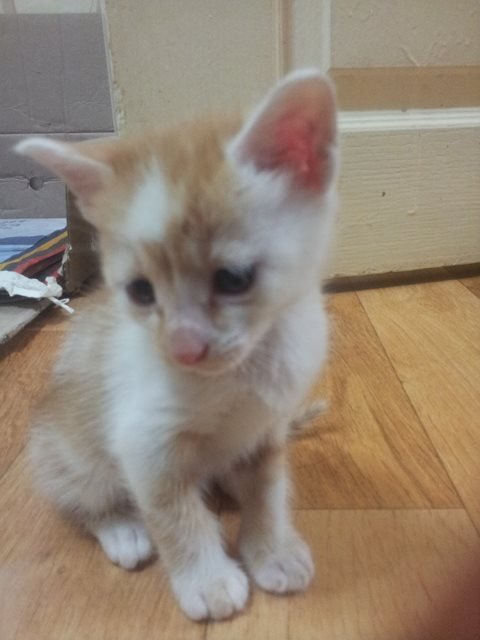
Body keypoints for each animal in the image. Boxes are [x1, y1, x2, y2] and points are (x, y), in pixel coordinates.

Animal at [15, 68, 338, 621]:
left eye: (233, 279)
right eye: (140, 291)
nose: (184, 350)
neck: (249, 368)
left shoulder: (269, 424)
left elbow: (269, 488)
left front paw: (272, 549)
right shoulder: (143, 439)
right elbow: (174, 513)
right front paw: (207, 581)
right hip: (67, 449)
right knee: (78, 497)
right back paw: (122, 528)